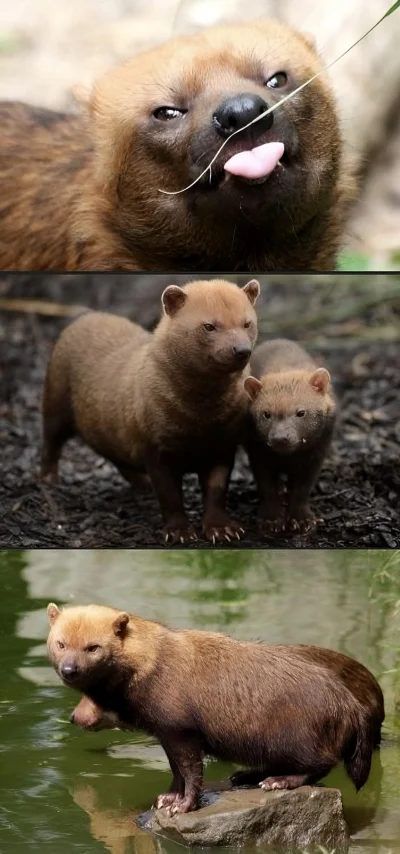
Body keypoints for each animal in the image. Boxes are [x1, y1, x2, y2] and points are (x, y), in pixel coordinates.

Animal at [41, 280, 260, 548]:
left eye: (247, 323)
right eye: (209, 325)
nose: (242, 350)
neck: (200, 421)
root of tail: (84, 317)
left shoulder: (224, 445)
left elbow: (216, 490)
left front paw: (222, 530)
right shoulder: (155, 447)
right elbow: (169, 495)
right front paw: (179, 532)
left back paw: (142, 485)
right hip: (55, 401)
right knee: (51, 441)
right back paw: (48, 480)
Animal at [46, 600, 384, 816]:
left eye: (93, 647)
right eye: (60, 643)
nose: (69, 669)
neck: (151, 665)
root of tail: (350, 705)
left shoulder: (181, 729)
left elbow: (192, 771)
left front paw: (183, 805)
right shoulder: (166, 733)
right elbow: (177, 771)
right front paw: (167, 798)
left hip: (295, 738)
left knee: (319, 764)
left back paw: (279, 781)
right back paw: (246, 776)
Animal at [245, 340, 336, 536]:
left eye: (301, 412)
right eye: (266, 413)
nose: (280, 438)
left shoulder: (317, 454)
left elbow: (303, 488)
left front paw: (302, 520)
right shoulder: (257, 452)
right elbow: (266, 485)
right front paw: (271, 519)